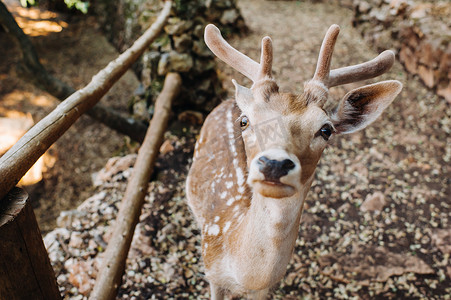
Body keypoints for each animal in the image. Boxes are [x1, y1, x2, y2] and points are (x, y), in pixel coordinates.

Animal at [185, 24, 404, 300]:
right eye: (245, 121)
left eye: (326, 130)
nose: (274, 164)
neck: (246, 275)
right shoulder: (211, 270)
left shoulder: (264, 290)